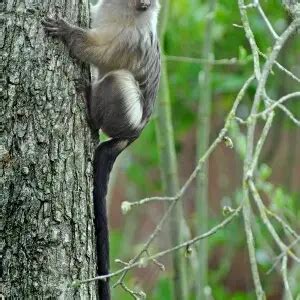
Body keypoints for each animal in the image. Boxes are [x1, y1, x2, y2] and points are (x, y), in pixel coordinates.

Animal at [41, 1, 162, 298]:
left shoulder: (129, 40)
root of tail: (131, 136)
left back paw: (91, 108)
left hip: (125, 115)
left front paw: (68, 32)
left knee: (119, 80)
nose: (143, 4)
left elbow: (99, 53)